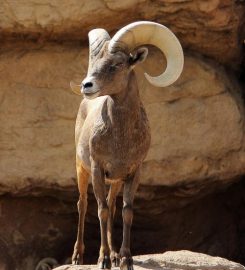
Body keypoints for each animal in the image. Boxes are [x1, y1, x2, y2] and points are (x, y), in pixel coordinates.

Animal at [70, 21, 183, 270]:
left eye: (117, 65)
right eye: (93, 63)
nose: (86, 85)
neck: (120, 139)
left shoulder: (133, 172)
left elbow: (125, 212)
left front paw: (124, 259)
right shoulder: (97, 169)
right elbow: (101, 211)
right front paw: (103, 260)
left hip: (115, 182)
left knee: (112, 207)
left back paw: (112, 255)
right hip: (82, 169)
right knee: (83, 204)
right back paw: (78, 257)